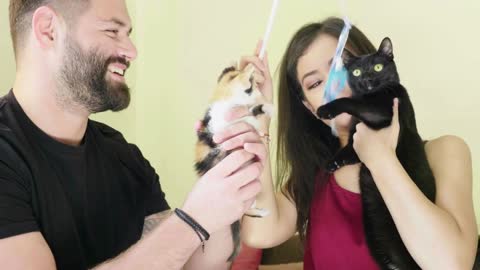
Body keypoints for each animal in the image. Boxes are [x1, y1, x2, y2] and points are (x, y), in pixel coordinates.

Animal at [193, 63, 272, 262]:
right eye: (252, 86)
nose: (261, 96)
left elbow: (252, 113)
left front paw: (267, 108)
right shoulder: (222, 122)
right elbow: (247, 115)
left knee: (246, 210)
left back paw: (262, 212)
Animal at [316, 38, 436, 270]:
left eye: (378, 67)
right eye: (356, 72)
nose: (367, 79)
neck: (372, 95)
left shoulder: (383, 113)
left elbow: (353, 102)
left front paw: (327, 109)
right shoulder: (356, 140)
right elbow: (348, 151)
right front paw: (331, 164)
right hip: (374, 238)